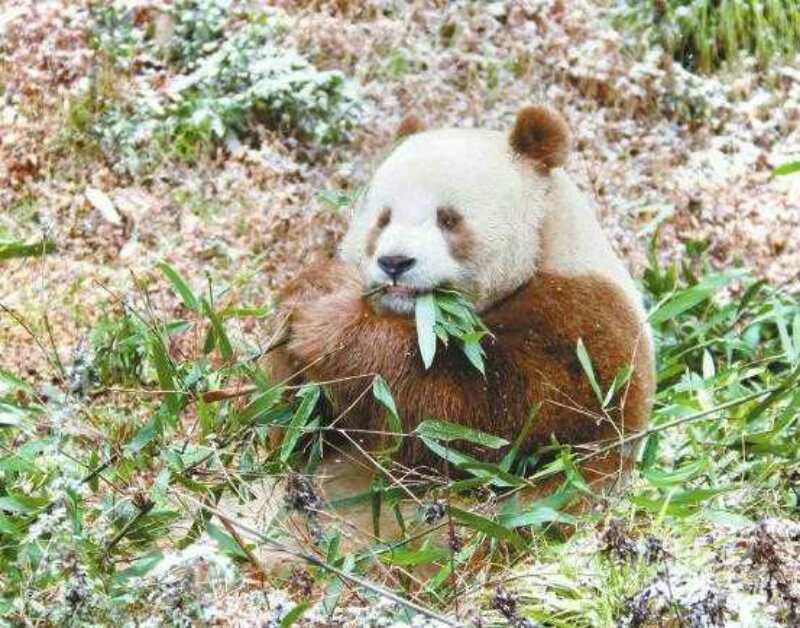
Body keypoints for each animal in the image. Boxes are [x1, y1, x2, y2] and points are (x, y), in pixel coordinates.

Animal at [272, 106, 652, 490]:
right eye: (383, 218)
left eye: (448, 219)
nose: (395, 262)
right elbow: (292, 427)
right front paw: (314, 291)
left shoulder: (583, 327)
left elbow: (482, 421)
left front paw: (330, 326)